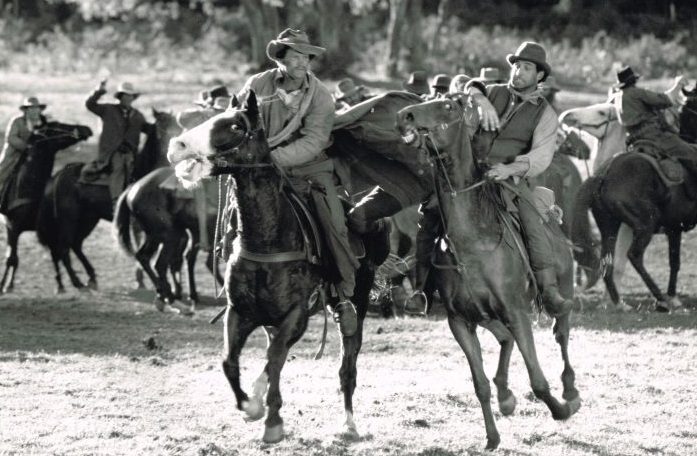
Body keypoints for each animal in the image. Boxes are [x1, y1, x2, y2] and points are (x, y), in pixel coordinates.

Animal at [0, 121, 92, 292]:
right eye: (58, 126)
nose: (86, 129)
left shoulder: (48, 226)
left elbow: (55, 254)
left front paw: (61, 285)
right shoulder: (13, 227)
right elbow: (12, 258)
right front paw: (6, 285)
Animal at [166, 91, 388, 444]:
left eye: (235, 125)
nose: (178, 145)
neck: (268, 239)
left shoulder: (295, 316)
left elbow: (275, 358)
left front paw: (269, 419)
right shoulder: (239, 313)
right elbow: (231, 361)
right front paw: (251, 406)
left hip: (356, 305)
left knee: (347, 365)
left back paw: (349, 424)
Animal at [394, 95, 580, 448]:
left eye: (449, 107)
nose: (404, 115)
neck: (473, 242)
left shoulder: (517, 311)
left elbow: (537, 380)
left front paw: (560, 410)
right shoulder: (459, 322)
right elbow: (479, 384)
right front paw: (491, 436)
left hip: (561, 291)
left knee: (561, 332)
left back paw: (570, 391)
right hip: (487, 316)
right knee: (506, 341)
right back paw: (505, 395)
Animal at [568, 92, 696, 314]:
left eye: (601, 111)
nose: (568, 116)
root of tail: (604, 174)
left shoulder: (673, 228)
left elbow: (674, 262)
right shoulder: (664, 228)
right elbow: (673, 262)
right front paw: (672, 298)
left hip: (609, 227)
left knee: (607, 262)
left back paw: (620, 302)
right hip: (644, 225)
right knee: (633, 256)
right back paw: (659, 299)